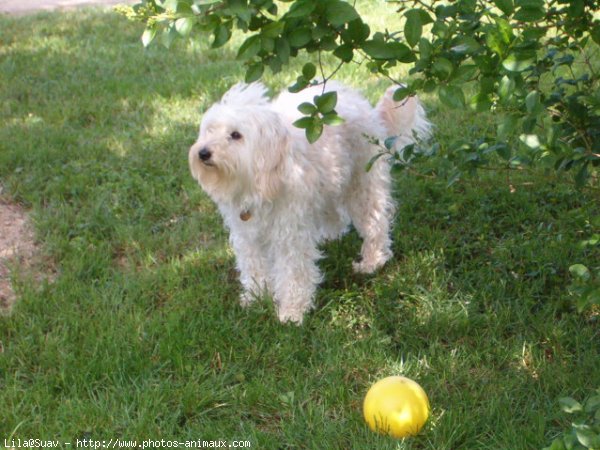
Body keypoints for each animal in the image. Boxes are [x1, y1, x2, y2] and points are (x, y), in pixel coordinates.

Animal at [190, 81, 428, 324]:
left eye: (236, 135)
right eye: (210, 130)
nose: (203, 152)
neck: (261, 180)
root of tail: (367, 110)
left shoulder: (290, 234)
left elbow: (293, 273)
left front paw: (292, 312)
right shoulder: (247, 234)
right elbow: (253, 265)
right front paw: (256, 296)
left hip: (363, 184)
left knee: (375, 222)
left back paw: (373, 261)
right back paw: (331, 235)